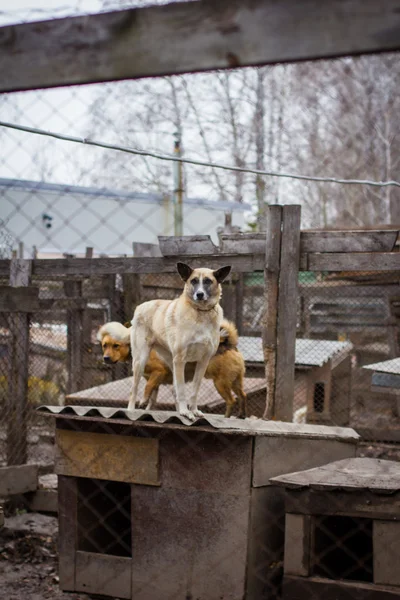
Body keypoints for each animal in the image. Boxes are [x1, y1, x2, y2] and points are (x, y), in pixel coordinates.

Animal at [97, 318, 247, 418]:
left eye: (116, 345)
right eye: (104, 346)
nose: (106, 358)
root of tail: (230, 345)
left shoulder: (158, 373)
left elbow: (147, 388)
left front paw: (143, 401)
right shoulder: (156, 382)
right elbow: (152, 398)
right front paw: (148, 408)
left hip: (220, 383)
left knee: (231, 400)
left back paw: (227, 417)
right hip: (235, 382)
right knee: (242, 396)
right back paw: (241, 415)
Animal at [128, 262, 231, 422]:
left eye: (208, 281)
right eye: (193, 281)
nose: (199, 294)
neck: (200, 313)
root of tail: (141, 306)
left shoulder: (203, 361)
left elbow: (194, 389)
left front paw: (193, 410)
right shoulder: (181, 359)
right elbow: (183, 390)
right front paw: (185, 412)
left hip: (171, 363)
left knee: (175, 390)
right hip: (141, 360)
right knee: (134, 389)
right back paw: (132, 410)